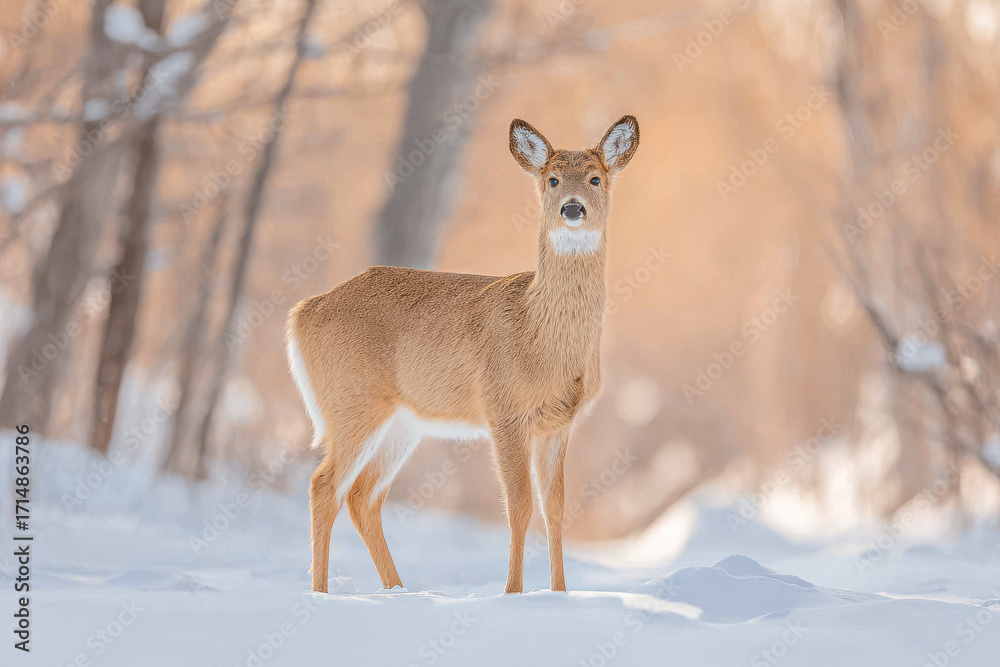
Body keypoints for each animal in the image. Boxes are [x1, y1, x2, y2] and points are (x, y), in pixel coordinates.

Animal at [286, 115, 639, 594]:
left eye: (595, 178)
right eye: (551, 179)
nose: (572, 208)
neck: (540, 337)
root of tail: (303, 312)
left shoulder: (559, 423)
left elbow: (556, 508)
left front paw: (560, 594)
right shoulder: (503, 409)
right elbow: (520, 506)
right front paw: (512, 593)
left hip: (402, 423)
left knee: (363, 495)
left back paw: (397, 590)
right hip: (351, 402)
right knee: (324, 485)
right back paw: (322, 593)